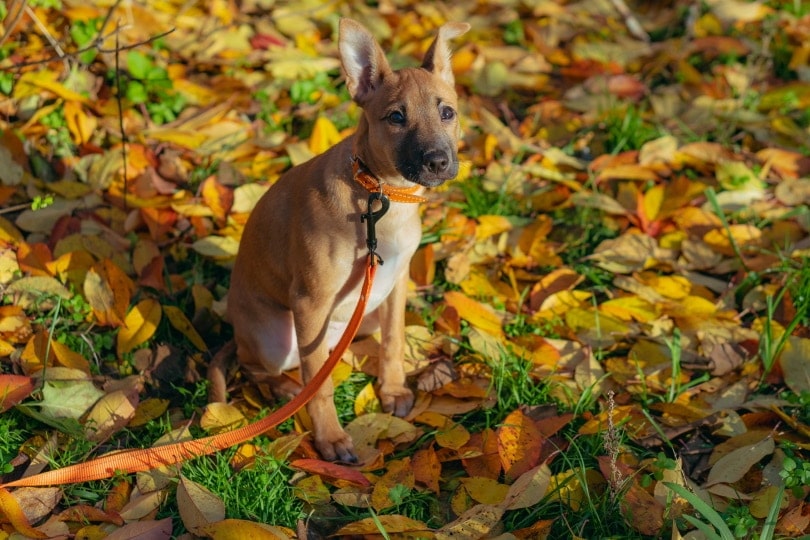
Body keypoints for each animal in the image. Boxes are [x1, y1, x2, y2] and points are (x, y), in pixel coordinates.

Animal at [216, 19, 468, 462]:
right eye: (396, 117)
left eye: (447, 112)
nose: (438, 162)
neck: (379, 194)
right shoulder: (310, 302)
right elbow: (320, 386)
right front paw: (330, 438)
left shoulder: (396, 283)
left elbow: (393, 340)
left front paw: (393, 390)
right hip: (275, 337)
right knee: (259, 365)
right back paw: (282, 387)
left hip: (362, 315)